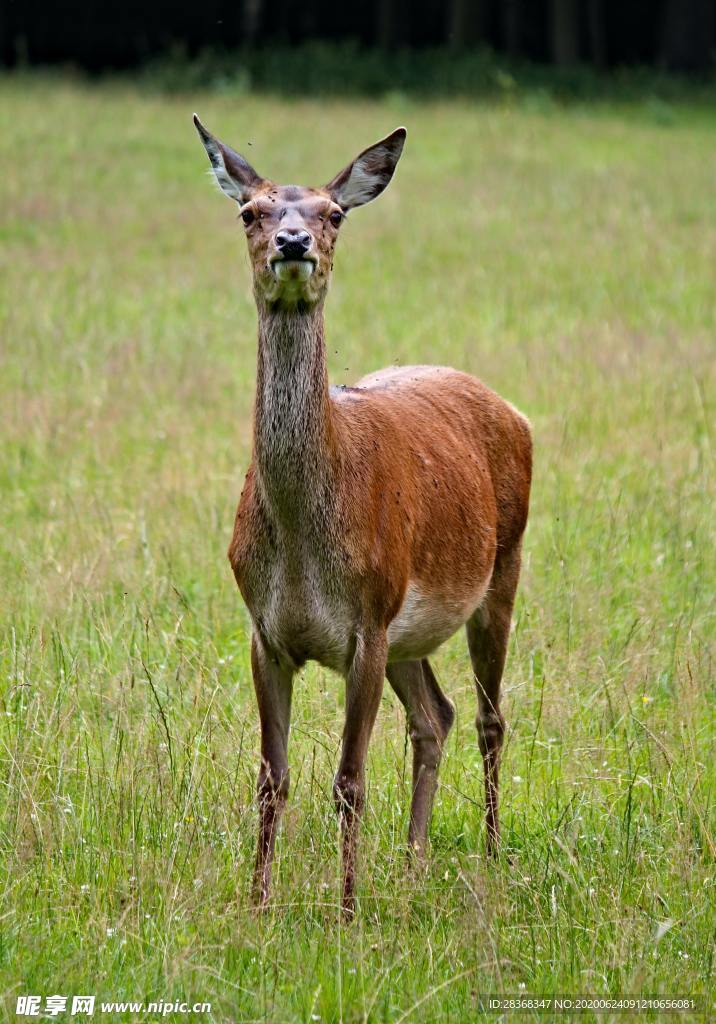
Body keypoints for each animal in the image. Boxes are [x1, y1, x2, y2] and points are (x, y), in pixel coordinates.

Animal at [194, 116, 532, 917]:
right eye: (249, 210)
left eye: (334, 214)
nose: (293, 242)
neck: (303, 546)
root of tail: (515, 412)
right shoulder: (264, 630)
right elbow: (271, 779)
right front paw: (257, 905)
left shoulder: (367, 625)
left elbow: (348, 783)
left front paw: (345, 913)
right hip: (411, 631)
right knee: (435, 716)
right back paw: (413, 862)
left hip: (500, 568)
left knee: (489, 717)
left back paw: (490, 851)